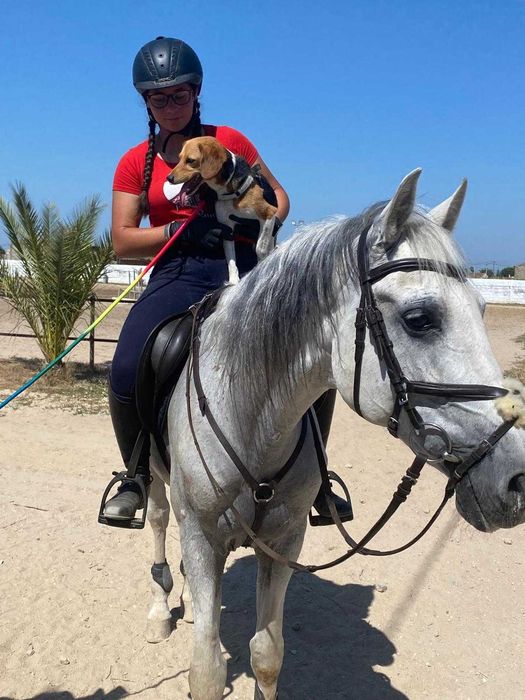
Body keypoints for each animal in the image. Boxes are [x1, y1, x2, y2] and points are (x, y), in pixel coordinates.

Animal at [143, 168, 525, 700]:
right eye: (420, 319)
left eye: (483, 309)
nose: (517, 480)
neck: (249, 421)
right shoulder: (201, 536)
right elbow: (206, 670)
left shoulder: (285, 540)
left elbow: (267, 655)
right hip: (157, 479)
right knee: (158, 520)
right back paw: (160, 608)